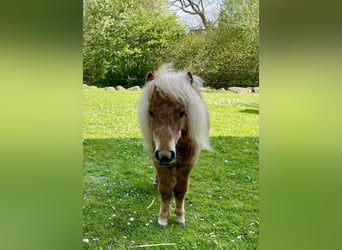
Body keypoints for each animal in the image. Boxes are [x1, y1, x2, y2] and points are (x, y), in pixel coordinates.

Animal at [138, 63, 210, 229]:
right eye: (151, 112)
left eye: (182, 112)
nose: (165, 155)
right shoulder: (160, 163)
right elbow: (165, 190)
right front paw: (163, 218)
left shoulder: (187, 164)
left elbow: (180, 190)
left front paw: (180, 217)